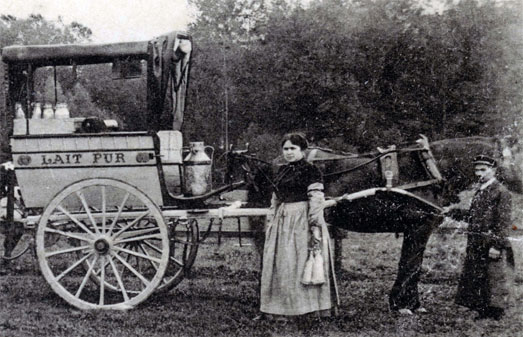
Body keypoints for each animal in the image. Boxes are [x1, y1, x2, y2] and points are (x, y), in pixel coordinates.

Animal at [233, 134, 523, 310]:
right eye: (516, 156)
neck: (430, 167)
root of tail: (269, 163)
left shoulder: (414, 229)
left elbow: (409, 265)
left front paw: (402, 302)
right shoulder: (419, 228)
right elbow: (411, 266)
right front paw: (407, 304)